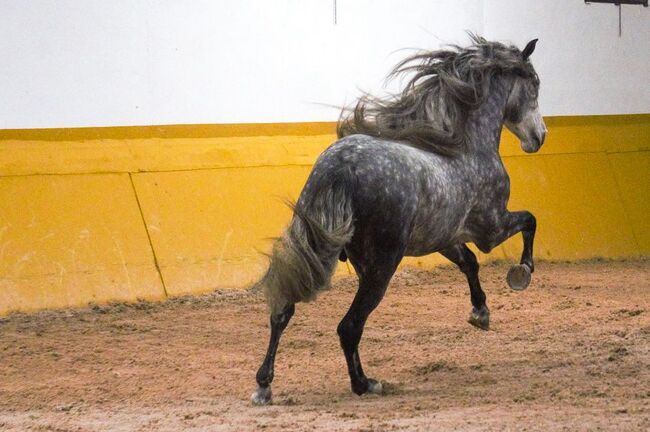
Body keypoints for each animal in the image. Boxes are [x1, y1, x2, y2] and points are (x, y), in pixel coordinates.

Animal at [251, 36, 544, 404]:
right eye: (535, 83)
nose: (539, 138)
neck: (464, 147)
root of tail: (339, 167)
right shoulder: (490, 229)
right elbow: (529, 221)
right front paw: (522, 273)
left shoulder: (445, 237)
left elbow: (470, 263)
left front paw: (480, 312)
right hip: (382, 266)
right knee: (349, 326)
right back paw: (365, 384)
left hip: (319, 249)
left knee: (283, 310)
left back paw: (264, 385)